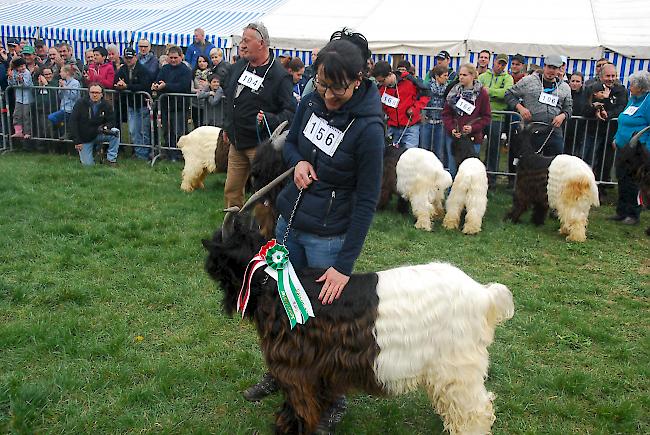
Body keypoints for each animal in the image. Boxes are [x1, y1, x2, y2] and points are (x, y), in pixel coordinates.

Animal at [200, 182, 512, 434]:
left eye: (218, 249)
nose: (207, 267)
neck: (272, 282)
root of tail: (483, 294)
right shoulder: (323, 370)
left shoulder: (297, 369)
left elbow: (299, 406)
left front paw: (288, 428)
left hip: (456, 366)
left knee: (476, 410)